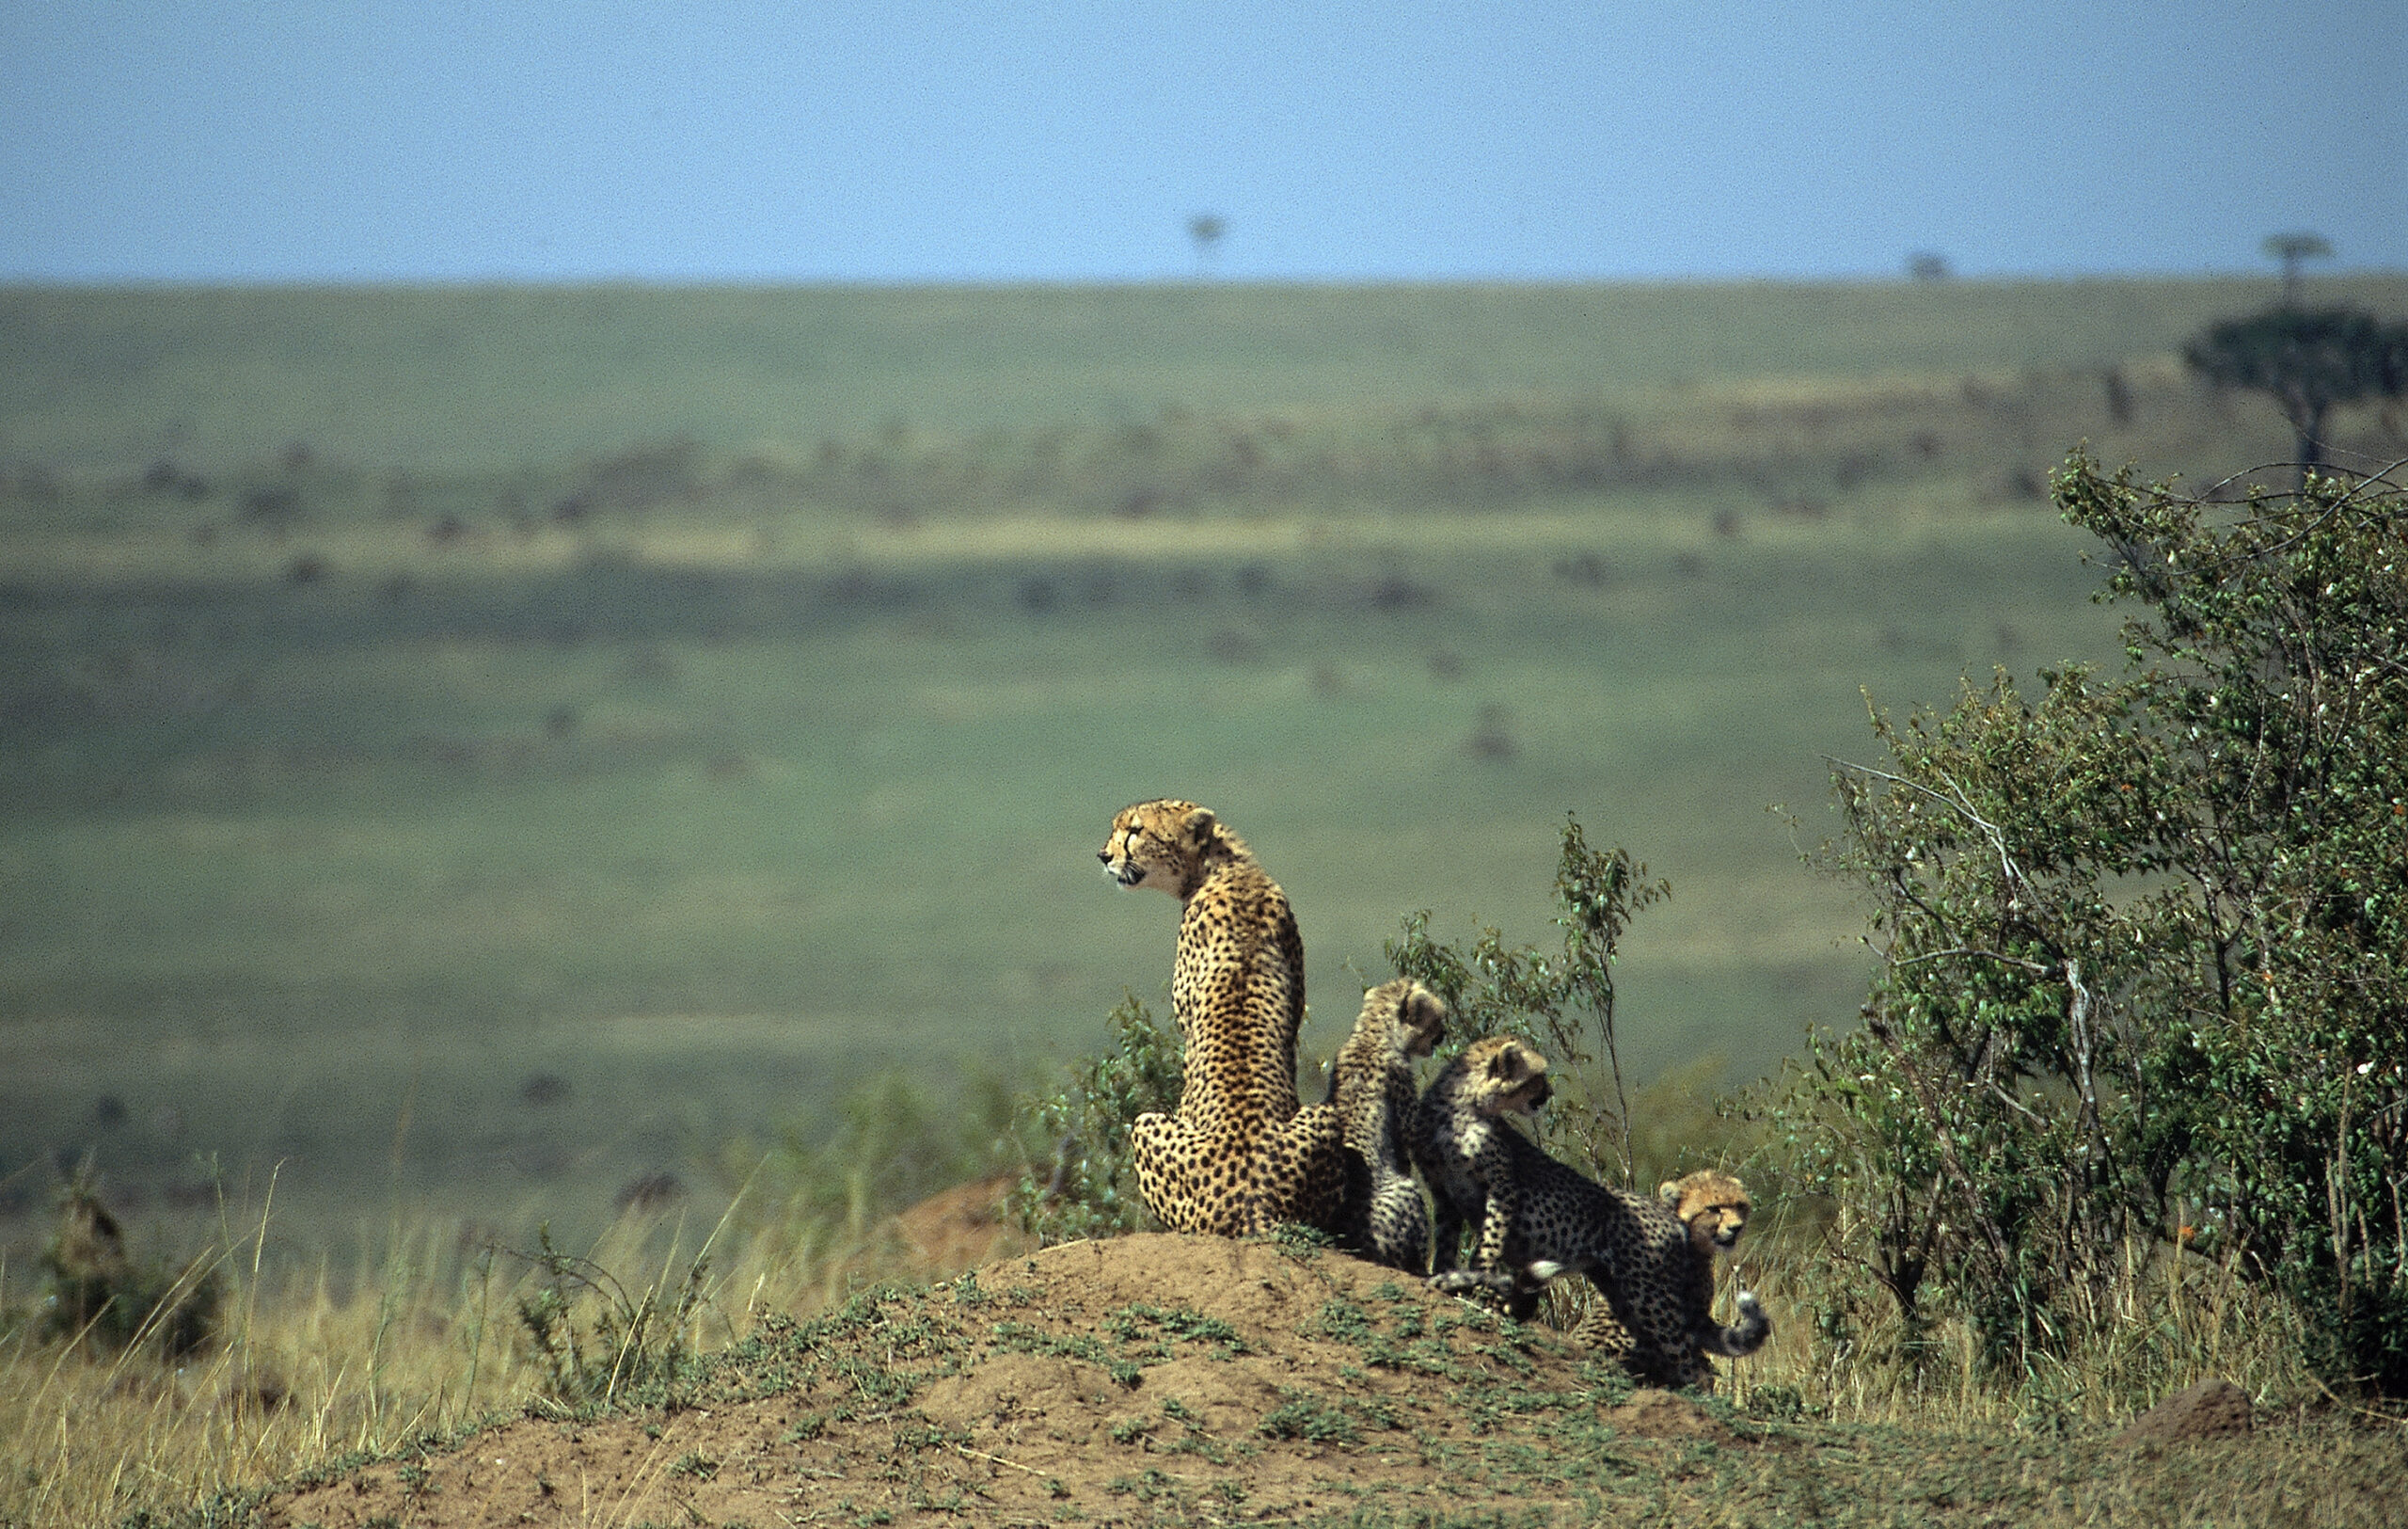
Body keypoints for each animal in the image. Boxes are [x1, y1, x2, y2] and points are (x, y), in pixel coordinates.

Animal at [1098, 799, 1351, 1238]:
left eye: (1135, 831)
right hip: (1326, 1116)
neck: (1222, 867)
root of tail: (1253, 1199)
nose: (1103, 856)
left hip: (1143, 1124)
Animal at [1409, 1037, 1768, 1389]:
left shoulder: (1502, 1191)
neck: (1462, 1109)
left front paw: (1474, 1289)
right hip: (1625, 1298)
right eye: (1537, 1076)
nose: (1547, 1093)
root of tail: (1671, 1219)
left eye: (1739, 1207)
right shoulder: (1442, 1192)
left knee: (1690, 1361)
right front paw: (1444, 1277)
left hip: (1651, 1297)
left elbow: (1487, 1247)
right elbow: (1446, 1243)